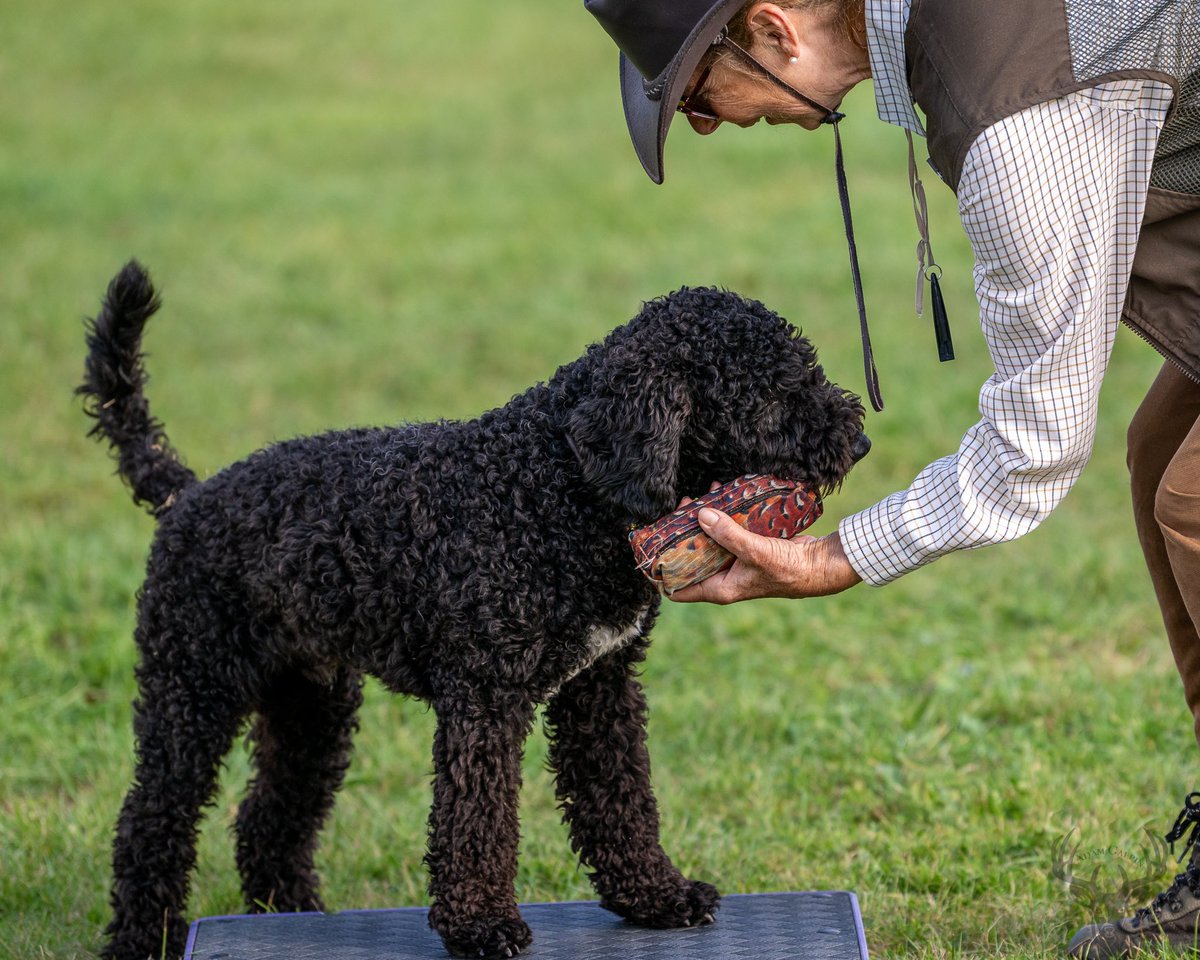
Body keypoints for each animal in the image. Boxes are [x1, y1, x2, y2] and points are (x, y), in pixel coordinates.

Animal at [79, 260, 868, 960]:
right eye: (770, 392)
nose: (858, 439)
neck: (553, 484)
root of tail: (188, 492)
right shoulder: (487, 698)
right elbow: (477, 822)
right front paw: (482, 926)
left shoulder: (601, 687)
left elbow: (621, 800)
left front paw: (656, 898)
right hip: (193, 692)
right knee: (151, 824)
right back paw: (140, 941)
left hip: (312, 706)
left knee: (268, 820)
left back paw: (293, 913)